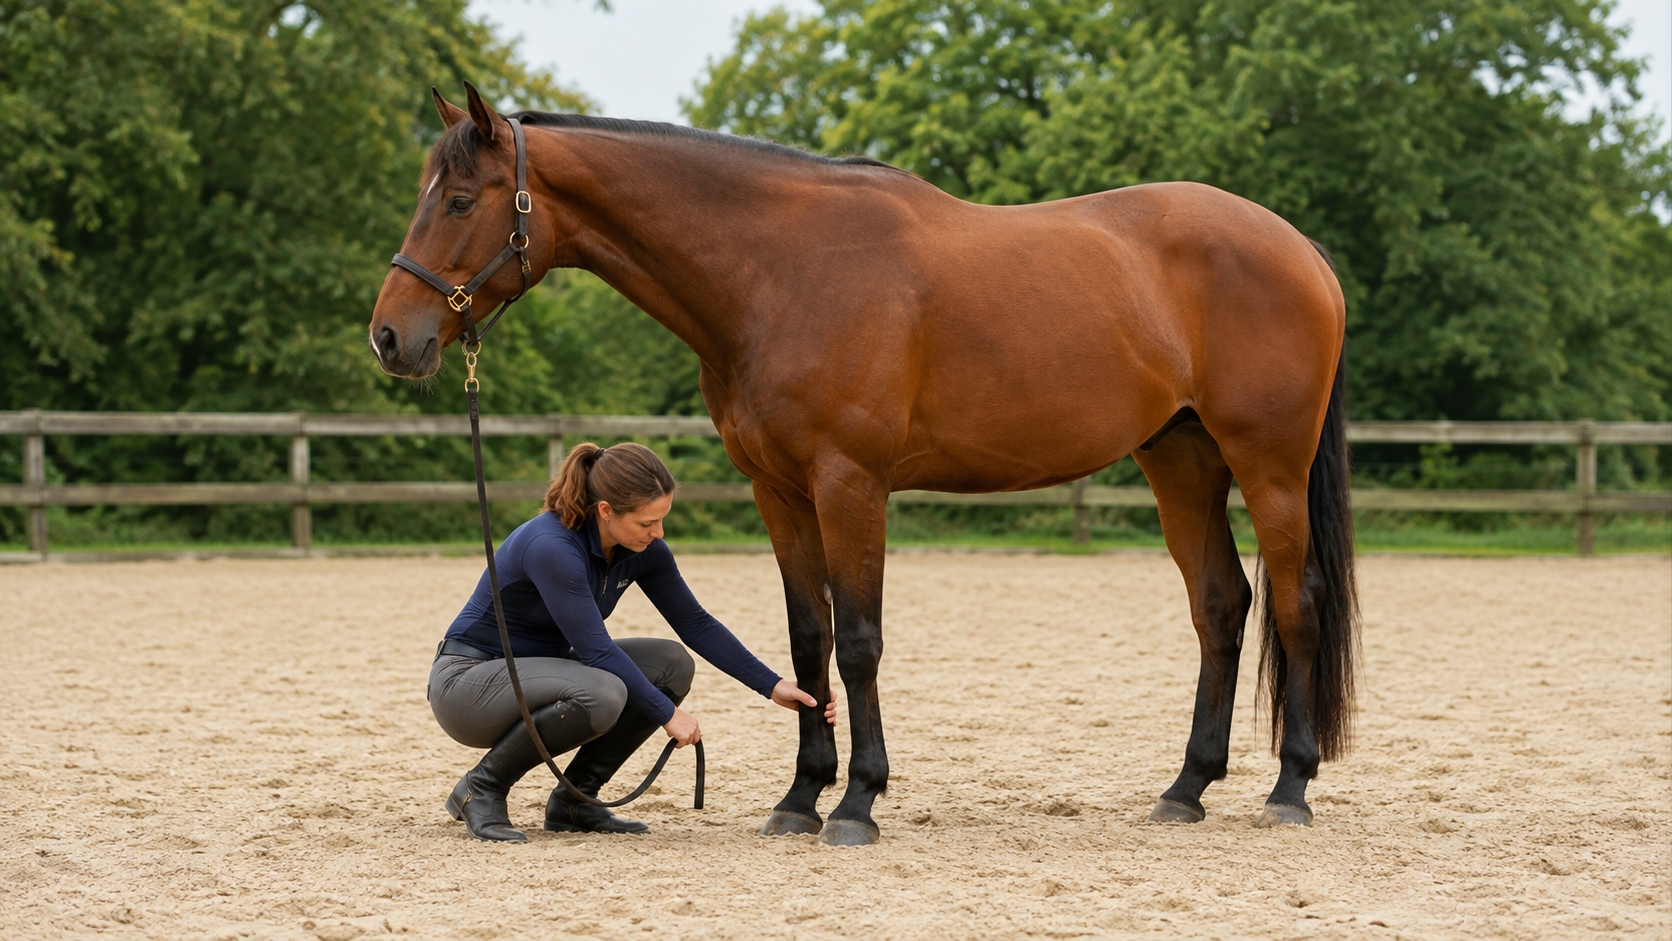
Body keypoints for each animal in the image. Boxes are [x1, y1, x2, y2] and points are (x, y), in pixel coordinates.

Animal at [370, 84, 1359, 846]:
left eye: (460, 200)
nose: (390, 337)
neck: (777, 270)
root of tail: (1300, 248)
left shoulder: (851, 484)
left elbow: (858, 640)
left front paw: (856, 803)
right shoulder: (779, 490)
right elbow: (807, 641)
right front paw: (800, 797)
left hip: (1267, 464)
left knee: (1296, 598)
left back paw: (1289, 788)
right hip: (1179, 458)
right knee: (1221, 605)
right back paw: (1186, 789)